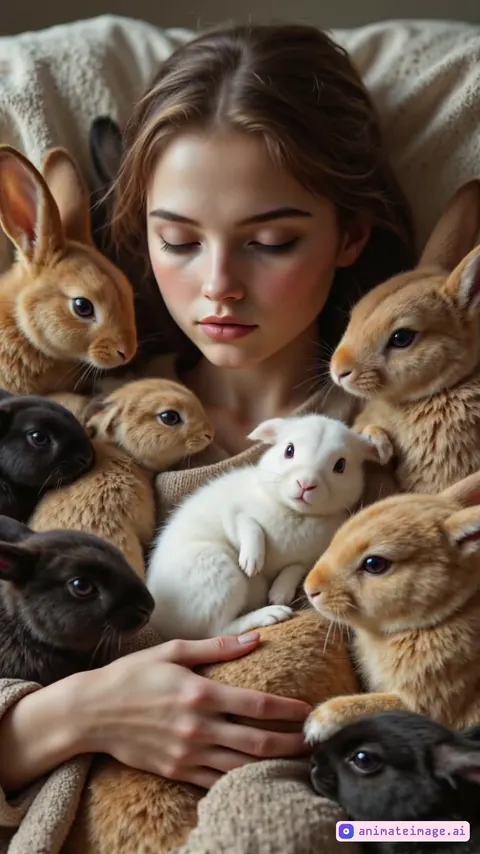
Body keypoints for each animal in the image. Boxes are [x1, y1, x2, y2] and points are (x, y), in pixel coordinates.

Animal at [147, 413, 384, 640]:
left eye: (340, 465)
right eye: (289, 450)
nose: (306, 484)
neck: (295, 512)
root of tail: (164, 624)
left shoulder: (308, 558)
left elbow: (294, 568)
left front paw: (280, 593)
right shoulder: (235, 513)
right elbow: (250, 527)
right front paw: (252, 563)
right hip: (219, 571)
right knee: (219, 630)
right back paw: (270, 614)